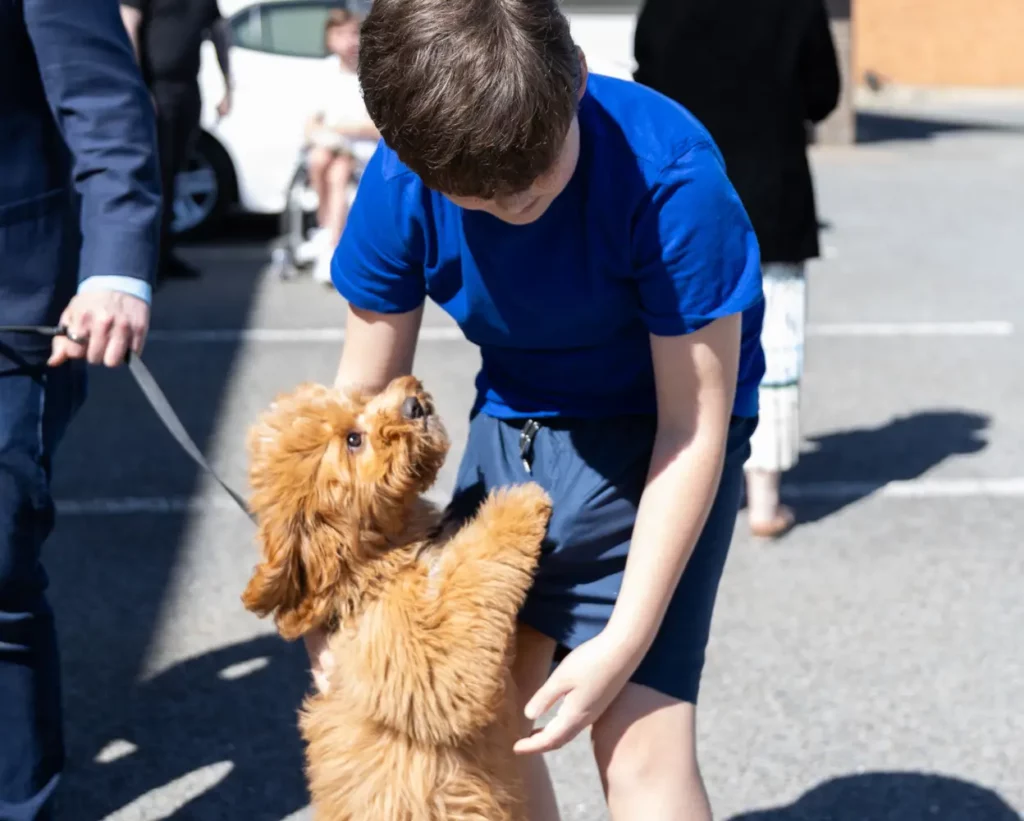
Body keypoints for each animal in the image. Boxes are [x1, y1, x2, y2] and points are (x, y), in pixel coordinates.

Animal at [238, 376, 552, 818]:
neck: (376, 563)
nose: (412, 403)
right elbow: (470, 572)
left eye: (359, 401)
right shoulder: (424, 660)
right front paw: (518, 502)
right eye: (353, 440)